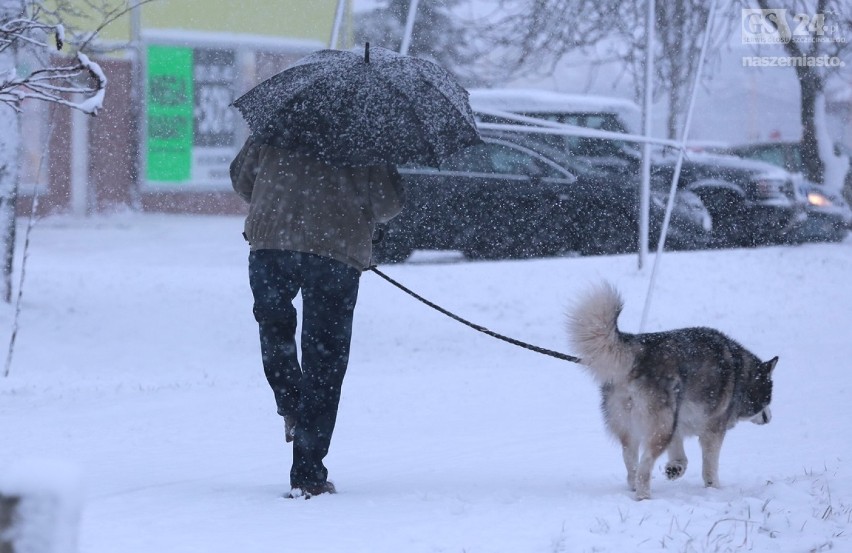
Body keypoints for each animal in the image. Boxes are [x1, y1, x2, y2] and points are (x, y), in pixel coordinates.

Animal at [564, 282, 780, 498]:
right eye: (768, 399)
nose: (770, 418)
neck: (741, 373)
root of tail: (638, 348)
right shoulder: (713, 430)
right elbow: (710, 467)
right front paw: (714, 489)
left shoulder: (678, 424)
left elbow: (680, 456)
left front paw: (675, 468)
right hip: (661, 426)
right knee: (645, 464)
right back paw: (643, 496)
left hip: (639, 425)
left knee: (630, 460)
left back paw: (634, 486)